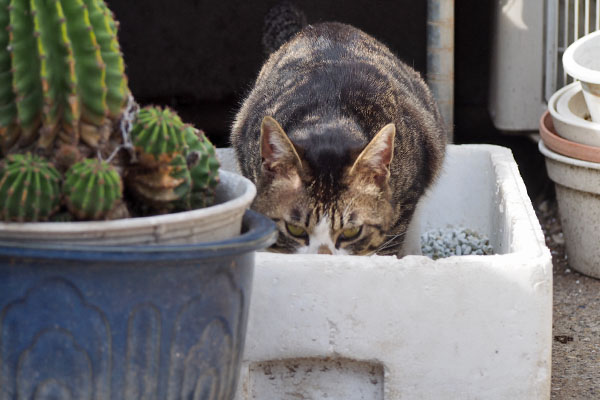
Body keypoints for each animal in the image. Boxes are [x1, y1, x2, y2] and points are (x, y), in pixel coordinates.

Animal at [230, 9, 446, 256]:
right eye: (295, 229)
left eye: (351, 231)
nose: (323, 257)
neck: (330, 120)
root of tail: (320, 26)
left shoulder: (408, 195)